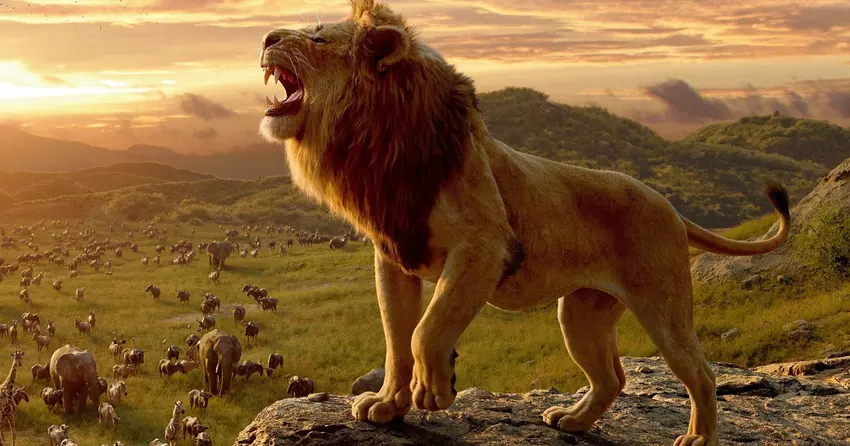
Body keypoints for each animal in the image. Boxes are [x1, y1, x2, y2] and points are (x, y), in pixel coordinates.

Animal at [256, 2, 790, 445]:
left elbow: (427, 329)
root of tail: (670, 206)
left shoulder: (485, 245)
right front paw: (389, 405)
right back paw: (572, 420)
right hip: (581, 314)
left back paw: (698, 437)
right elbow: (395, 339)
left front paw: (435, 390)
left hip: (663, 305)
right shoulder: (394, 256)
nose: (266, 37)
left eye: (318, 39)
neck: (377, 144)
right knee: (612, 377)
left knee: (700, 372)